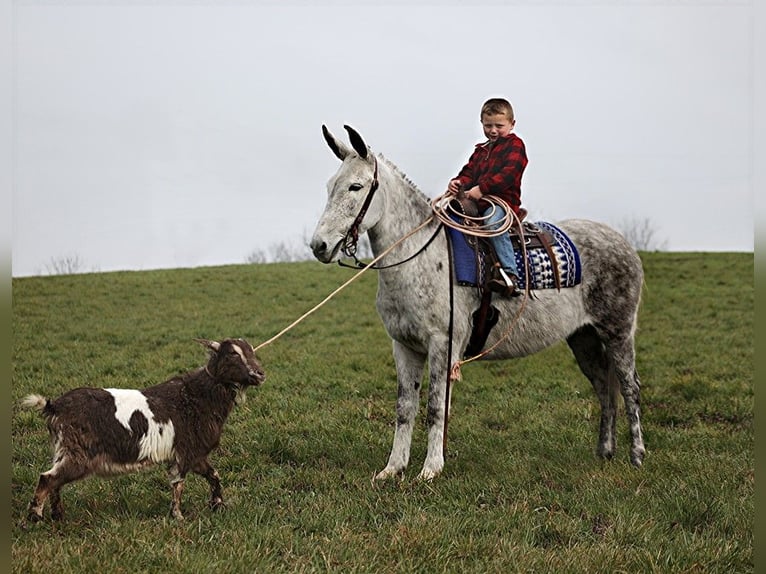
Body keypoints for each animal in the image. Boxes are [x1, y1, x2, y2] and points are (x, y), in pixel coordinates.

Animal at [21, 340, 268, 524]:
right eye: (232, 354)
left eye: (250, 350)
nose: (260, 373)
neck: (197, 396)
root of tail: (54, 406)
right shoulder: (186, 453)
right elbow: (179, 484)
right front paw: (178, 516)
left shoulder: (196, 455)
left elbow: (213, 474)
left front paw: (218, 504)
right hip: (77, 455)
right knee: (47, 478)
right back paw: (35, 518)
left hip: (64, 450)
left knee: (55, 481)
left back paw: (58, 515)